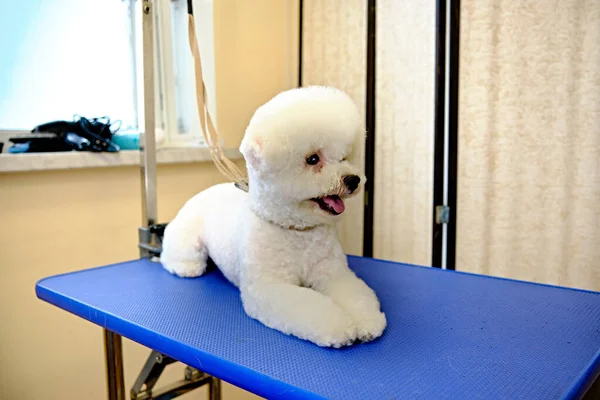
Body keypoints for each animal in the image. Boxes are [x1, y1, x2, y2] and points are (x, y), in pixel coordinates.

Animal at [159, 85, 386, 346]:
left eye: (344, 157)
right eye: (313, 159)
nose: (353, 180)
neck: (297, 231)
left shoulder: (334, 273)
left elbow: (356, 295)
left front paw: (366, 320)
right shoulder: (269, 287)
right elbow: (311, 308)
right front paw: (340, 327)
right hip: (187, 237)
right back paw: (185, 266)